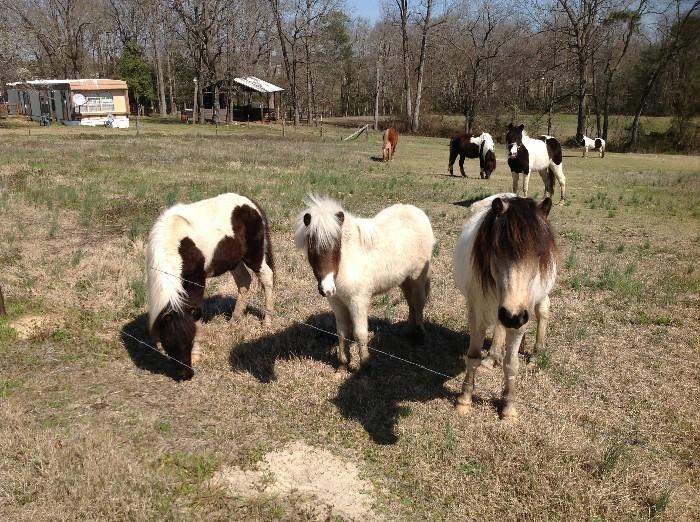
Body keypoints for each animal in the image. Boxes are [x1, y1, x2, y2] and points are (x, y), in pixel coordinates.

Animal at [146, 193, 275, 380]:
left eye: (189, 341)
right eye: (168, 344)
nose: (186, 374)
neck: (174, 243)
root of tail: (250, 204)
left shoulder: (196, 279)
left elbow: (196, 311)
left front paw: (196, 354)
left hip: (254, 255)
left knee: (266, 277)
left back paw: (267, 321)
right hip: (234, 260)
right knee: (244, 281)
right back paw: (234, 321)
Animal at [295, 195, 434, 374]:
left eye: (337, 247)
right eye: (311, 249)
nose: (326, 289)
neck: (346, 264)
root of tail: (416, 212)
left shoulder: (358, 302)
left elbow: (360, 334)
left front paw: (366, 367)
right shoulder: (337, 302)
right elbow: (342, 333)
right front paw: (342, 367)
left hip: (418, 277)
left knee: (418, 303)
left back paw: (420, 335)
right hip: (405, 280)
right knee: (411, 303)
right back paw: (409, 331)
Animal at [453, 193, 557, 419]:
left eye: (539, 254)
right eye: (497, 251)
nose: (513, 316)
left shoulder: (520, 322)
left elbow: (511, 365)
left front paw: (509, 408)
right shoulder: (477, 314)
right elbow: (473, 357)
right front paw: (464, 400)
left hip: (539, 298)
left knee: (542, 311)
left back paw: (536, 353)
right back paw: (492, 357)